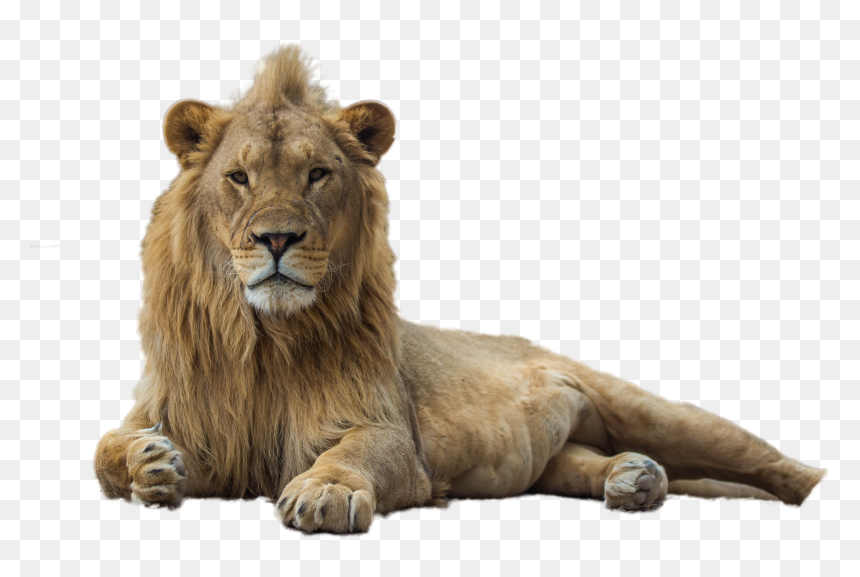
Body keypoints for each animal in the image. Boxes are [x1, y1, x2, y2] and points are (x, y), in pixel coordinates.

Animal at [94, 46, 826, 533]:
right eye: (239, 177)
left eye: (318, 175)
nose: (277, 238)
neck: (264, 340)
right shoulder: (189, 418)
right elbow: (105, 450)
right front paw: (148, 464)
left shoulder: (392, 432)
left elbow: (356, 449)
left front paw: (324, 491)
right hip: (553, 457)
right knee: (581, 459)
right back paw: (634, 478)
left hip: (654, 411)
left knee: (773, 463)